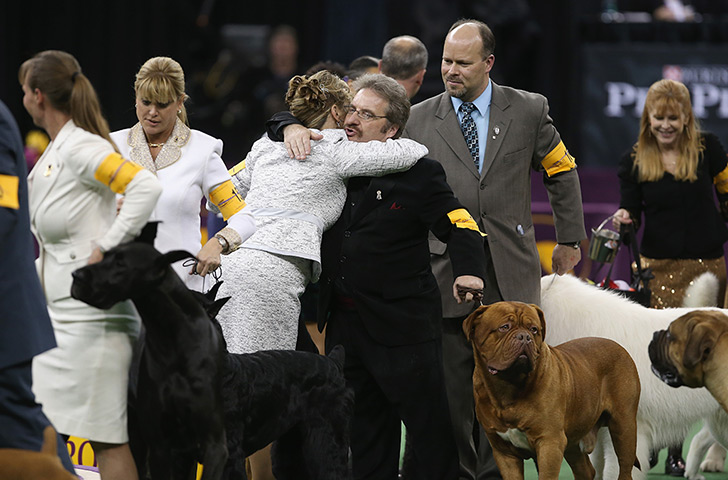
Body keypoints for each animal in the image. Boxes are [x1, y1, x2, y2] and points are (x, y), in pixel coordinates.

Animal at [464, 302, 640, 478]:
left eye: (534, 329)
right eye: (504, 327)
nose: (525, 337)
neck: (508, 386)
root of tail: (620, 348)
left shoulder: (550, 442)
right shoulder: (504, 452)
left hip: (623, 425)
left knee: (625, 466)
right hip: (573, 440)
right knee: (585, 470)